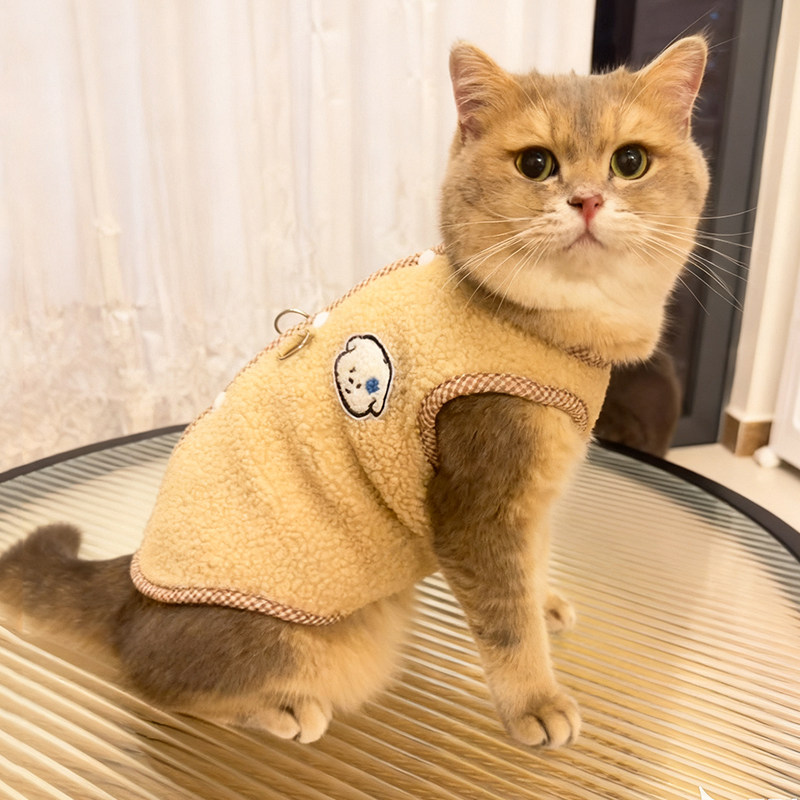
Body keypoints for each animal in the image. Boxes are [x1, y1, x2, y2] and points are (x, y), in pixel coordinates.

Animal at [0, 37, 709, 749]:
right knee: (155, 681)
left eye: (630, 161)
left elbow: (530, 571)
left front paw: (546, 602)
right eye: (536, 163)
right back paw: (279, 708)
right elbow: (506, 621)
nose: (587, 200)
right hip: (329, 642)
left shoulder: (534, 496)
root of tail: (130, 586)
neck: (541, 329)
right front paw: (535, 701)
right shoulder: (477, 503)